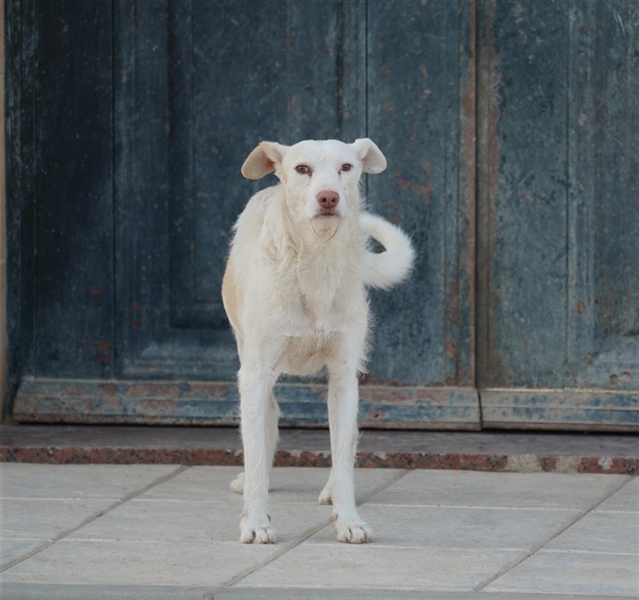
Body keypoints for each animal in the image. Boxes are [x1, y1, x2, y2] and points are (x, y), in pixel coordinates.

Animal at [222, 138, 414, 544]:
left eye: (346, 167)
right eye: (302, 169)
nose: (328, 197)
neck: (315, 264)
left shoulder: (343, 376)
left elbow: (342, 454)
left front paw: (348, 519)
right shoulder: (256, 374)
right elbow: (256, 452)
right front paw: (256, 522)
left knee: (347, 439)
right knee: (265, 424)